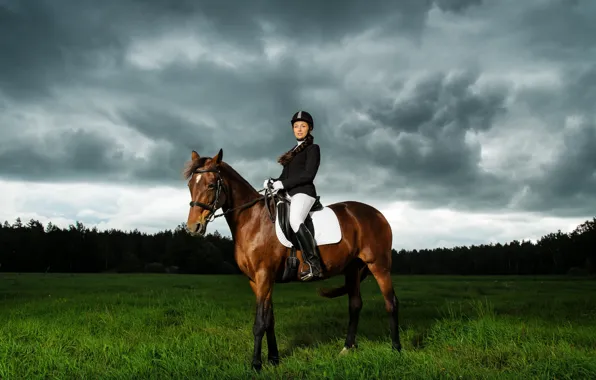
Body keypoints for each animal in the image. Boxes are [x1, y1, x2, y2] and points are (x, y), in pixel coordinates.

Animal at [184, 148, 402, 372]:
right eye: (190, 185)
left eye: (211, 185)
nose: (193, 227)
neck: (252, 220)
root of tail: (378, 214)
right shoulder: (256, 281)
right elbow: (269, 320)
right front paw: (274, 359)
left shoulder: (264, 276)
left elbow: (259, 323)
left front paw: (256, 364)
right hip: (352, 268)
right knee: (355, 305)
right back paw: (347, 348)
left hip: (379, 266)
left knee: (391, 302)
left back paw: (396, 349)